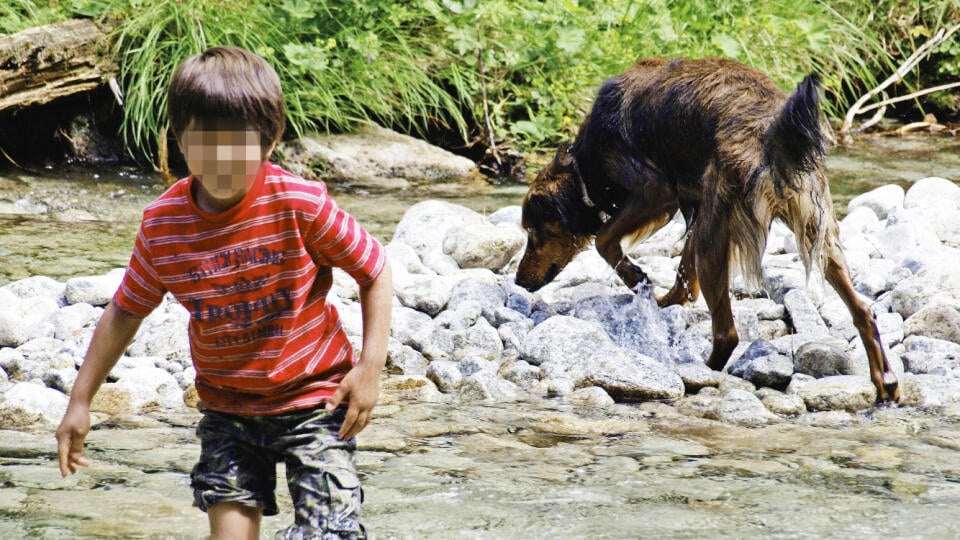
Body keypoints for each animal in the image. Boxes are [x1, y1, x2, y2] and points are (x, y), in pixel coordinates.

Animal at [516, 57, 900, 402]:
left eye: (533, 233)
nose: (518, 280)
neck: (584, 165)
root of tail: (769, 133)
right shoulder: (699, 204)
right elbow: (683, 277)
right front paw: (662, 300)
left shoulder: (657, 192)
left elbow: (604, 241)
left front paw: (638, 278)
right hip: (813, 226)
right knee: (863, 309)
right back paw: (886, 381)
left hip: (717, 237)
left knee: (727, 333)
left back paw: (701, 371)